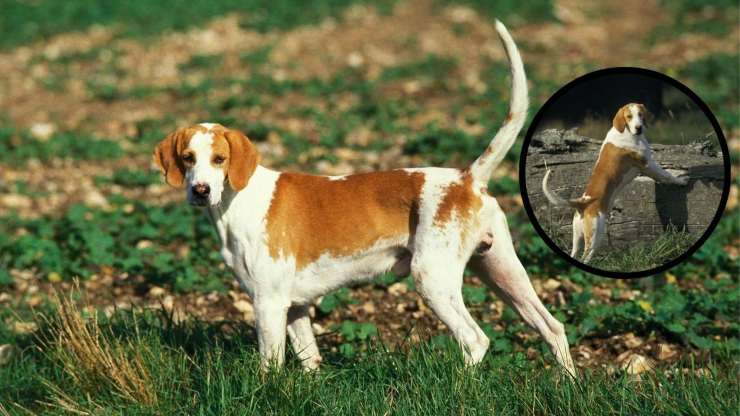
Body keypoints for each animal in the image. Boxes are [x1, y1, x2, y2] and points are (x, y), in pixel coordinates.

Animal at [153, 21, 576, 376]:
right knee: (552, 327)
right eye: (187, 158)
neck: (238, 203)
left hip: (433, 279)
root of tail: (466, 178)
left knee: (476, 339)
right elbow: (310, 362)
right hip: (503, 272)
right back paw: (567, 385)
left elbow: (268, 369)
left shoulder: (269, 305)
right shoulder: (296, 309)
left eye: (219, 159)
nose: (200, 190)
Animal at [540, 102, 692, 262]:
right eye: (629, 116)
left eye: (640, 114)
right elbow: (667, 175)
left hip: (577, 239)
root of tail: (583, 203)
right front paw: (681, 180)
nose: (639, 127)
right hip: (594, 239)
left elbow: (661, 177)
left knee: (574, 253)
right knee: (586, 257)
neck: (626, 132)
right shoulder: (648, 164)